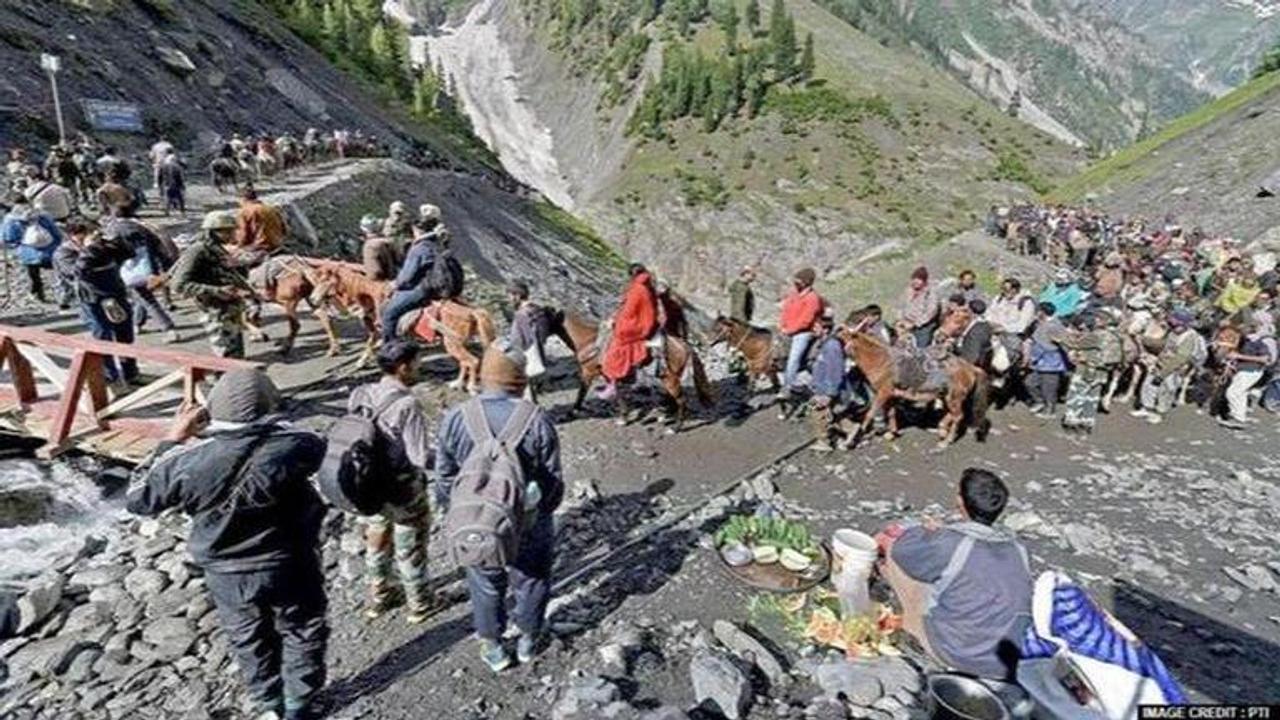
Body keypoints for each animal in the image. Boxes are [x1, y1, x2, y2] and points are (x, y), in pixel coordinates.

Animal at [839, 322, 988, 445]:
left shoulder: (883, 393)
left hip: (954, 398)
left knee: (958, 416)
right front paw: (891, 433)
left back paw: (947, 440)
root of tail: (970, 368)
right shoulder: (891, 395)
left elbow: (870, 414)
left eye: (843, 339)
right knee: (952, 414)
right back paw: (941, 429)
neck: (882, 361)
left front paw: (854, 439)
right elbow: (891, 413)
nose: (837, 330)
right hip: (947, 397)